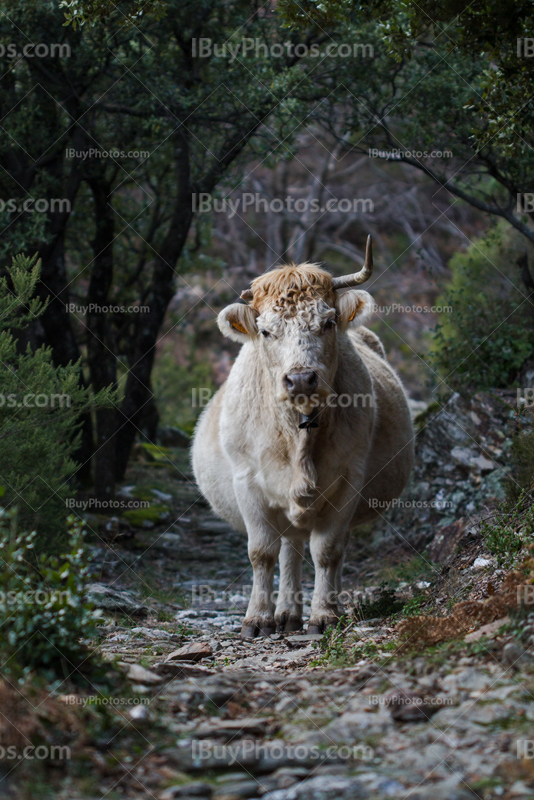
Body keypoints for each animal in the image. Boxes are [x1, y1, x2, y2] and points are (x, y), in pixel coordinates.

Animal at [193, 238, 414, 636]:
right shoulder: (247, 482)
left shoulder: (349, 480)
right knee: (289, 549)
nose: (300, 379)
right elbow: (261, 553)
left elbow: (327, 551)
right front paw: (257, 618)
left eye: (328, 322)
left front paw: (324, 615)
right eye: (265, 331)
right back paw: (285, 613)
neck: (298, 440)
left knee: (321, 547)